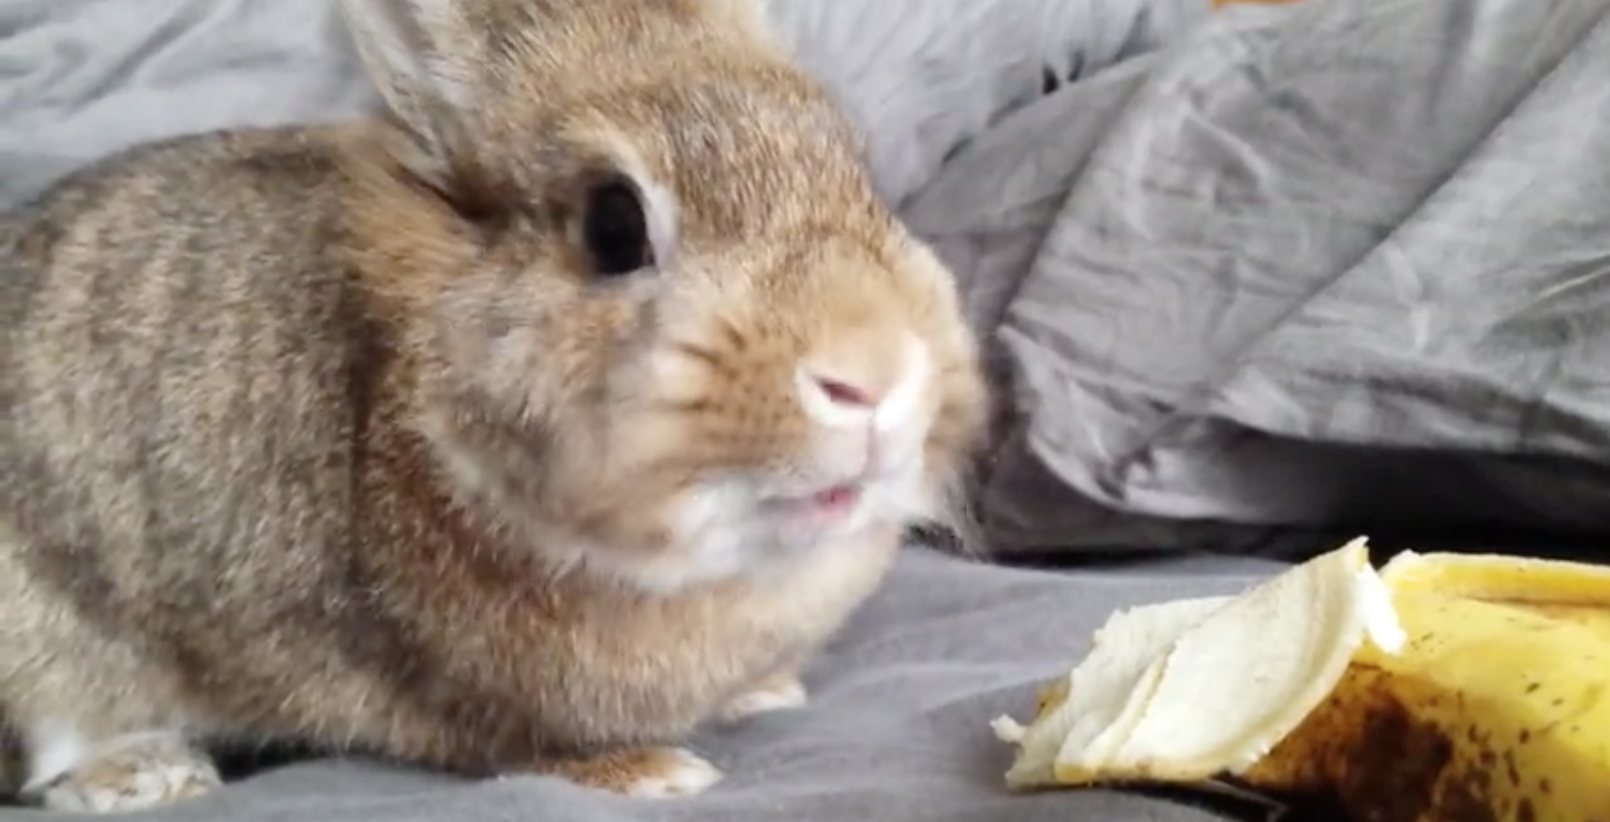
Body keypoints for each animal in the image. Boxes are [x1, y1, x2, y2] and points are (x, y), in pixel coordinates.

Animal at [0, 0, 989, 814]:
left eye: (855, 172)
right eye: (614, 225)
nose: (873, 371)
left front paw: (766, 691)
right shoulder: (448, 684)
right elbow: (519, 747)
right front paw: (657, 773)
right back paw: (145, 776)